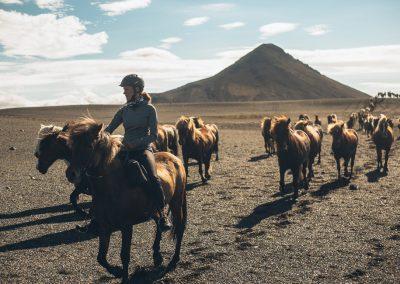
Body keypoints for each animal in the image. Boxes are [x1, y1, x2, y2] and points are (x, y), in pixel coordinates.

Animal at [59, 117, 188, 282]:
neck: (112, 187)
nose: (71, 174)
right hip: (155, 209)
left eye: (89, 146)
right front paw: (117, 271)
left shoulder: (126, 226)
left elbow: (124, 255)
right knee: (159, 225)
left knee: (179, 227)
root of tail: (175, 159)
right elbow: (101, 257)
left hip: (176, 202)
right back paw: (157, 256)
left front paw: (124, 276)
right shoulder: (104, 227)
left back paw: (174, 260)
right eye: (71, 147)